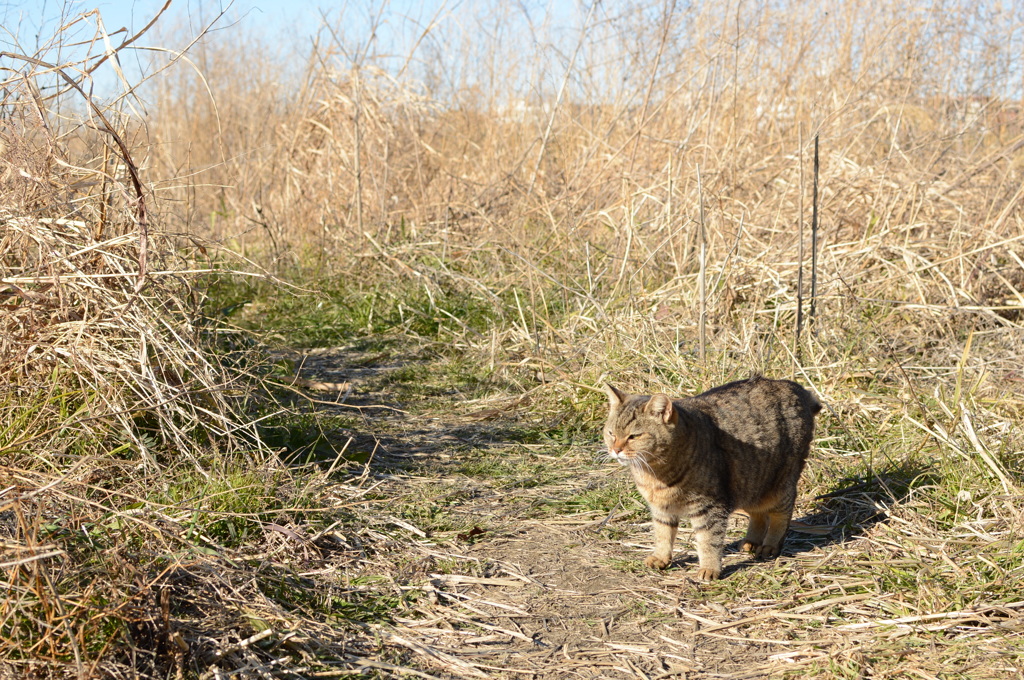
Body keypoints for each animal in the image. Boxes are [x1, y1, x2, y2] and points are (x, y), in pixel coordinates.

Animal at [602, 376, 819, 577]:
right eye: (611, 433)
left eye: (634, 436)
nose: (615, 450)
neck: (654, 474)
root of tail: (795, 387)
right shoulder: (661, 508)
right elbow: (663, 534)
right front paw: (661, 557)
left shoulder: (709, 507)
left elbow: (708, 541)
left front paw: (709, 568)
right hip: (751, 482)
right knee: (758, 514)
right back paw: (751, 542)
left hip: (780, 484)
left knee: (782, 513)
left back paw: (770, 545)